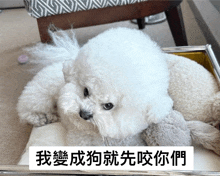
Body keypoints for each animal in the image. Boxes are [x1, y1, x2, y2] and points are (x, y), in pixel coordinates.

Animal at [16, 27, 173, 145]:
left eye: (108, 105)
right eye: (86, 91)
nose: (84, 114)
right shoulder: (81, 139)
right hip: (41, 96)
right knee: (25, 110)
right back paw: (39, 118)